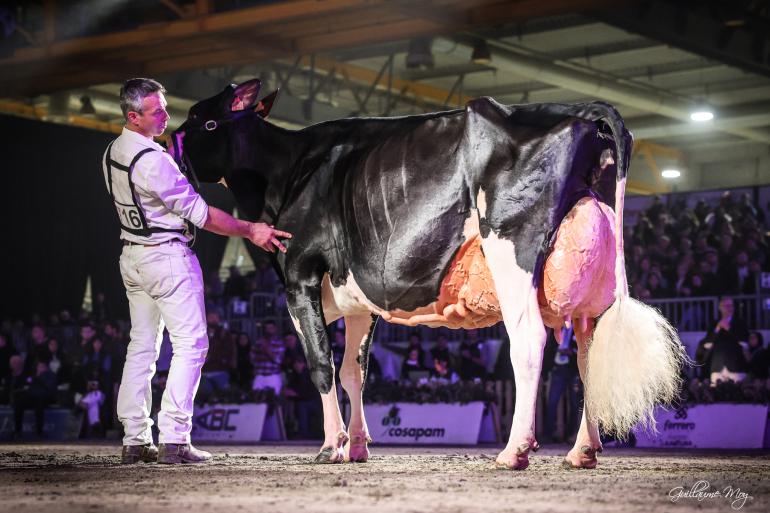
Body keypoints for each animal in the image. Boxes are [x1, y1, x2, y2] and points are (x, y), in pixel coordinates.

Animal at [170, 80, 684, 468]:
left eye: (204, 121)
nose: (171, 149)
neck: (289, 170)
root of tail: (578, 108)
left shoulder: (299, 276)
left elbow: (321, 365)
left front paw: (331, 446)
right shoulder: (357, 298)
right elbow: (354, 371)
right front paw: (358, 446)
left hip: (511, 247)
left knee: (529, 340)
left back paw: (514, 450)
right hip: (587, 282)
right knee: (587, 355)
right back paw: (582, 451)